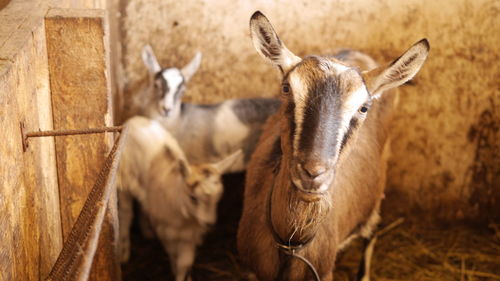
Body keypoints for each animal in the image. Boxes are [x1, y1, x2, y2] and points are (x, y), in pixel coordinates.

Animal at [119, 115, 240, 280]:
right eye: (193, 198)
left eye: (219, 196)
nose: (209, 224)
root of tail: (133, 119)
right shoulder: (166, 231)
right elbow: (174, 255)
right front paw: (174, 269)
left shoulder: (191, 233)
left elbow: (185, 263)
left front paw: (185, 276)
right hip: (124, 176)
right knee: (126, 213)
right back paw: (124, 252)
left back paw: (147, 232)